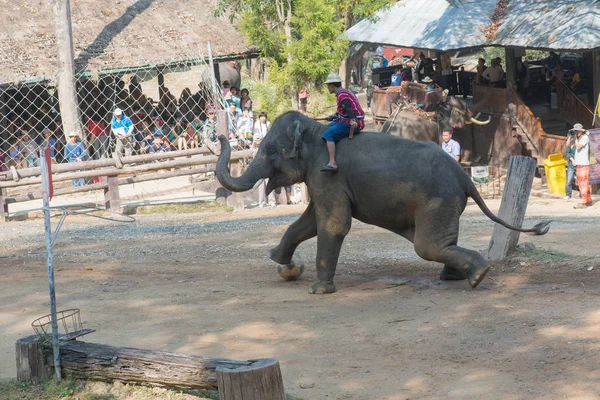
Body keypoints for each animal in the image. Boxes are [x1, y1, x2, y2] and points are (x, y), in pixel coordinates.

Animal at [216, 111, 548, 294]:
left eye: (270, 150)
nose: (220, 136)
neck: (314, 129)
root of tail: (464, 176)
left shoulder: (328, 175)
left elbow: (333, 224)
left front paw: (318, 290)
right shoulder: (322, 180)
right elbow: (308, 222)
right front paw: (280, 261)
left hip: (438, 200)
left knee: (427, 247)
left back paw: (478, 276)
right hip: (447, 203)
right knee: (439, 244)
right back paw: (457, 276)